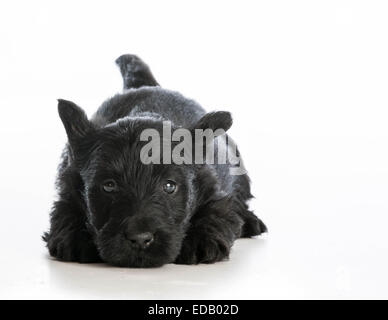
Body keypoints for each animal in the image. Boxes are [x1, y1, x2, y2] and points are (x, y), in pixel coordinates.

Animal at [43, 55, 266, 268]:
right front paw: (74, 239)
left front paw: (202, 241)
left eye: (169, 186)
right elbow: (64, 211)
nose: (140, 240)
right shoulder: (68, 184)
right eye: (109, 185)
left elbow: (218, 211)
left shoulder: (212, 188)